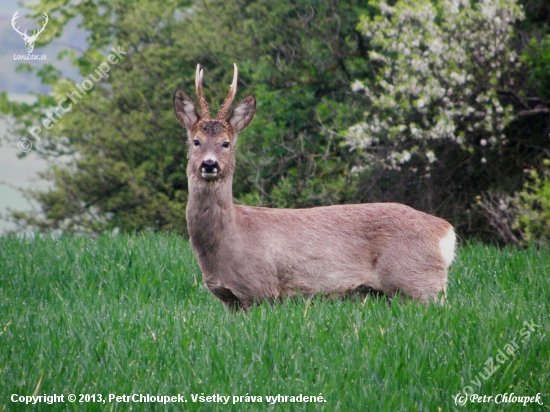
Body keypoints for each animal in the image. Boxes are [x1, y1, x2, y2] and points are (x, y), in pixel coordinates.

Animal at [174, 63, 458, 308]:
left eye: (226, 143)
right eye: (196, 141)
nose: (209, 164)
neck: (231, 237)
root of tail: (446, 231)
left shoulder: (261, 289)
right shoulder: (230, 301)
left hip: (419, 282)